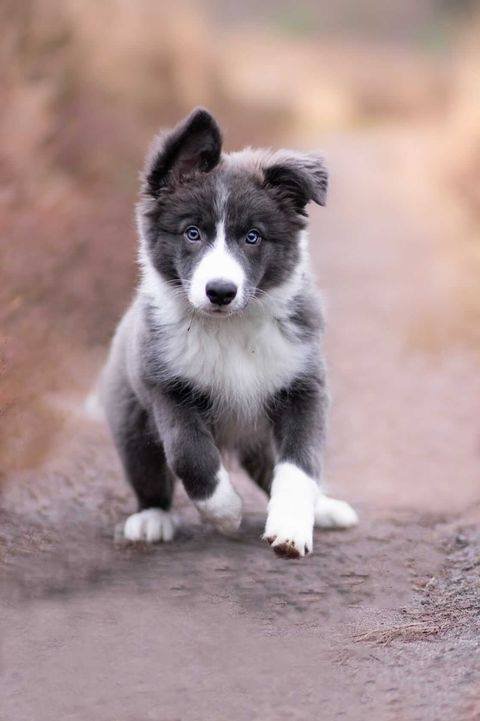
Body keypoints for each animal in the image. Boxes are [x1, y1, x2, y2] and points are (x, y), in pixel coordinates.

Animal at [100, 108, 356, 556]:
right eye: (192, 233)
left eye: (253, 236)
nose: (220, 291)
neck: (231, 328)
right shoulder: (165, 386)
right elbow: (190, 454)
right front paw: (225, 512)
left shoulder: (304, 387)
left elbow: (299, 466)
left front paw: (290, 530)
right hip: (131, 422)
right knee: (151, 476)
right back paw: (151, 520)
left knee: (275, 468)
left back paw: (325, 509)